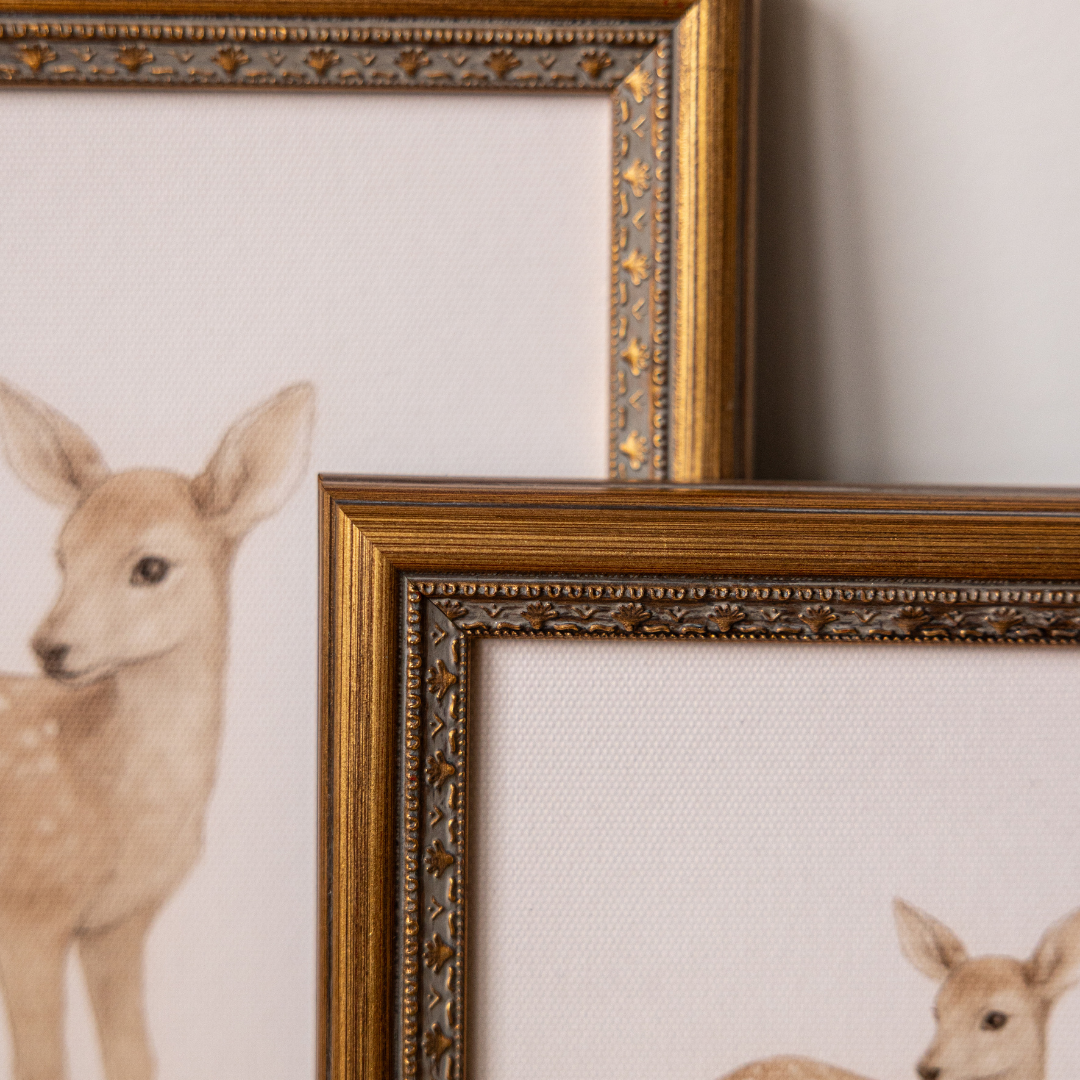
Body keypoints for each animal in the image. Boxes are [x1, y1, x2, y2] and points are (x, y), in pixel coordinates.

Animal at [0, 379, 314, 1080]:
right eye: (63, 556)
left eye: (150, 567)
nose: (49, 647)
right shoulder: (29, 909)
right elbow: (43, 1060)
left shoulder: (119, 923)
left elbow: (131, 1050)